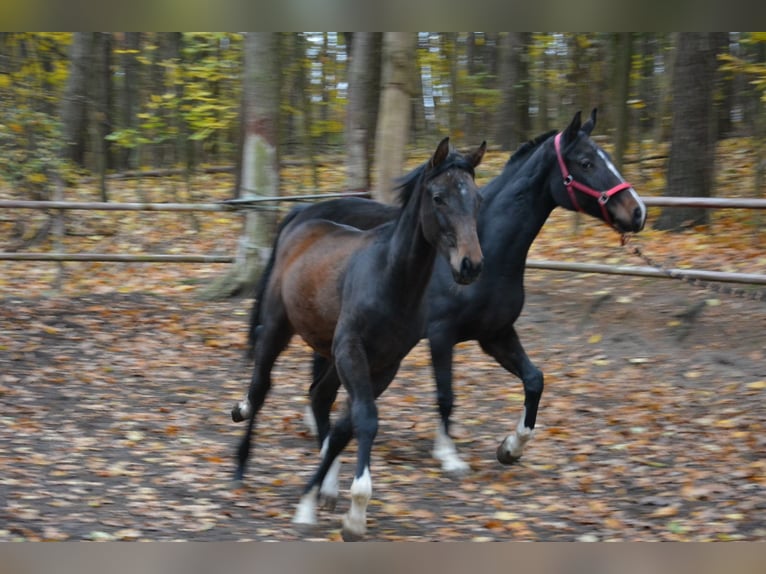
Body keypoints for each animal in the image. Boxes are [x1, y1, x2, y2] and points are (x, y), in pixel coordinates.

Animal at [234, 137, 486, 544]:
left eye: (477, 199)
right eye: (438, 197)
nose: (471, 265)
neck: (390, 279)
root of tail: (299, 221)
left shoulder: (385, 365)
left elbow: (345, 427)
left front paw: (315, 501)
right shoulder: (351, 351)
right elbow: (365, 420)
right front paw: (354, 511)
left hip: (329, 353)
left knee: (319, 397)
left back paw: (325, 488)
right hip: (278, 329)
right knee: (260, 388)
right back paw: (240, 465)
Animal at [236, 109, 648, 482]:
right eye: (586, 162)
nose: (638, 211)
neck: (493, 250)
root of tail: (304, 212)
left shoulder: (495, 334)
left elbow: (534, 379)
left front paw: (510, 448)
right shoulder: (441, 334)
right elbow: (446, 395)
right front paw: (449, 455)